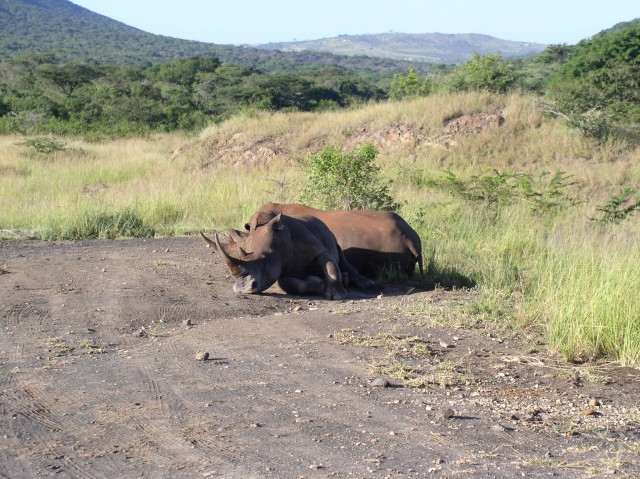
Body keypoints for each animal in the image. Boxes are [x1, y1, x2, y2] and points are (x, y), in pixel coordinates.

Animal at [200, 211, 364, 300]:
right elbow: (286, 283)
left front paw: (337, 296)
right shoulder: (283, 268)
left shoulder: (319, 250)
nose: (242, 289)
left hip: (332, 237)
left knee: (341, 258)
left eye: (264, 262)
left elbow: (330, 266)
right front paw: (318, 283)